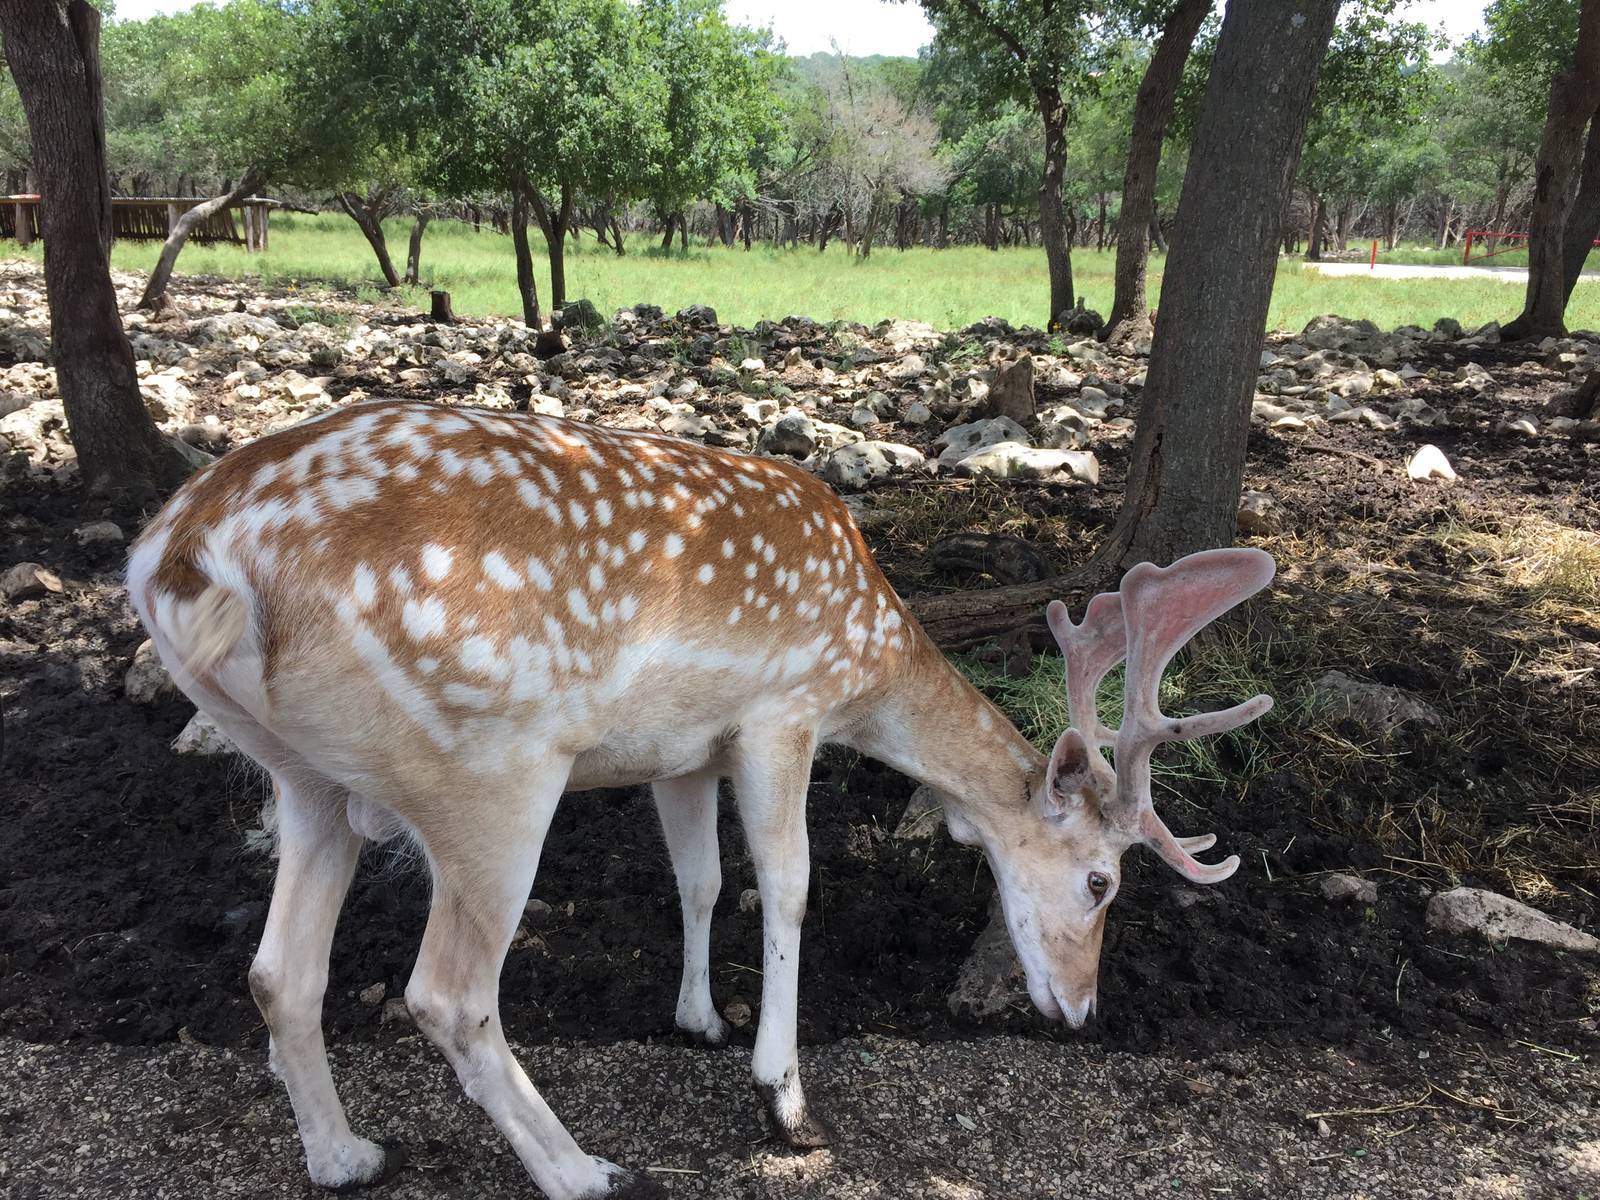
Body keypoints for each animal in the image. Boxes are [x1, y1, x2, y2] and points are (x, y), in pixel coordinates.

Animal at [126, 398, 1275, 1199]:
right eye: (1100, 881)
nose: (1082, 1011)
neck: (869, 661)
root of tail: (184, 558)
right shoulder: (782, 711)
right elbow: (789, 883)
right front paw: (785, 1101)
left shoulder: (682, 753)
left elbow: (702, 878)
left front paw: (700, 1018)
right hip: (489, 769)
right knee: (445, 994)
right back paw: (582, 1170)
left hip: (303, 777)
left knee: (279, 971)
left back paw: (348, 1156)